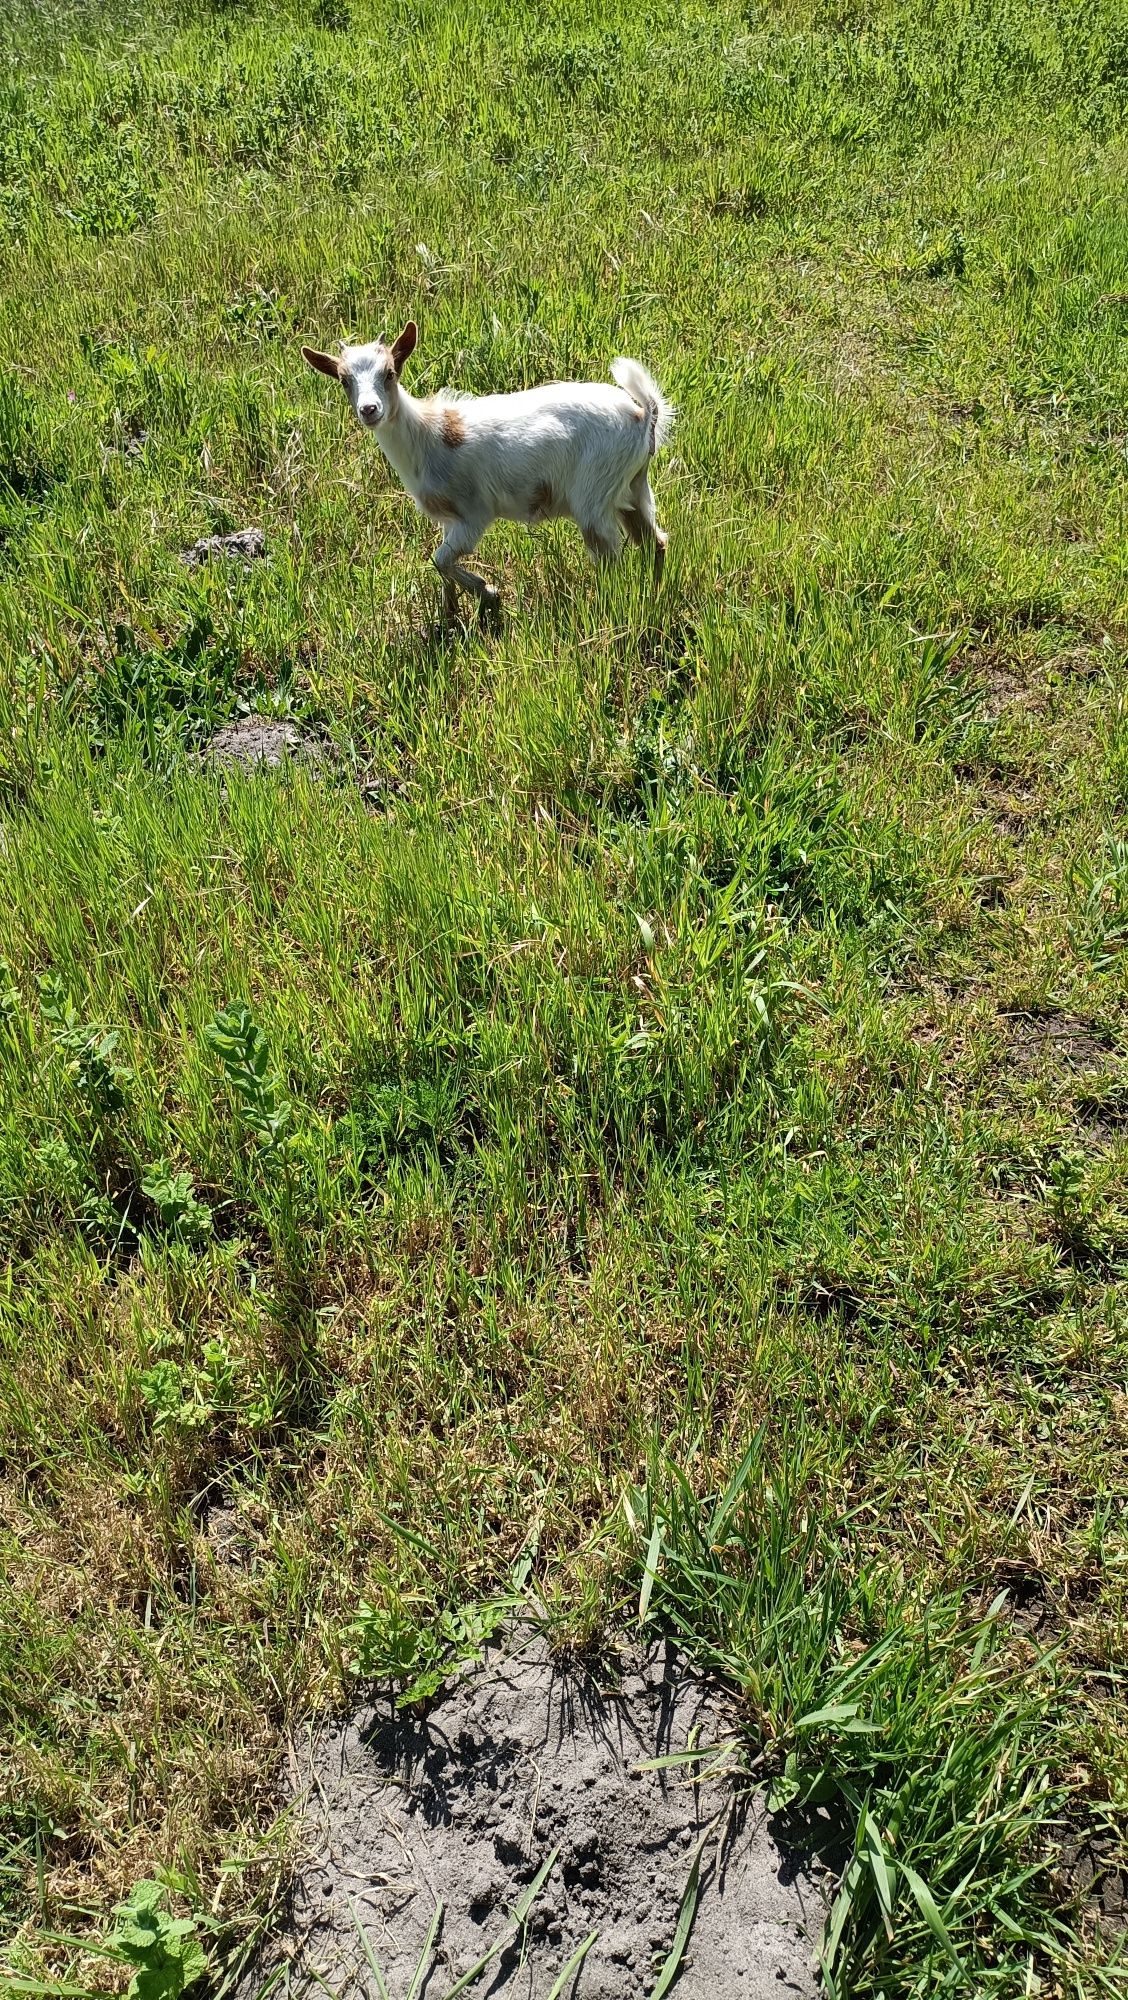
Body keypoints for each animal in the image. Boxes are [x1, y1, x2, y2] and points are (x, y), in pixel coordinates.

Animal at [300, 322, 676, 624]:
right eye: (343, 380)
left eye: (390, 372)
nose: (369, 409)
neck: (428, 434)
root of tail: (643, 415)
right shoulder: (449, 520)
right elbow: (441, 563)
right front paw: (451, 611)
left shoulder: (472, 515)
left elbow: (439, 559)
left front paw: (489, 593)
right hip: (633, 487)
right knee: (655, 541)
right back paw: (656, 595)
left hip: (593, 495)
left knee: (611, 557)